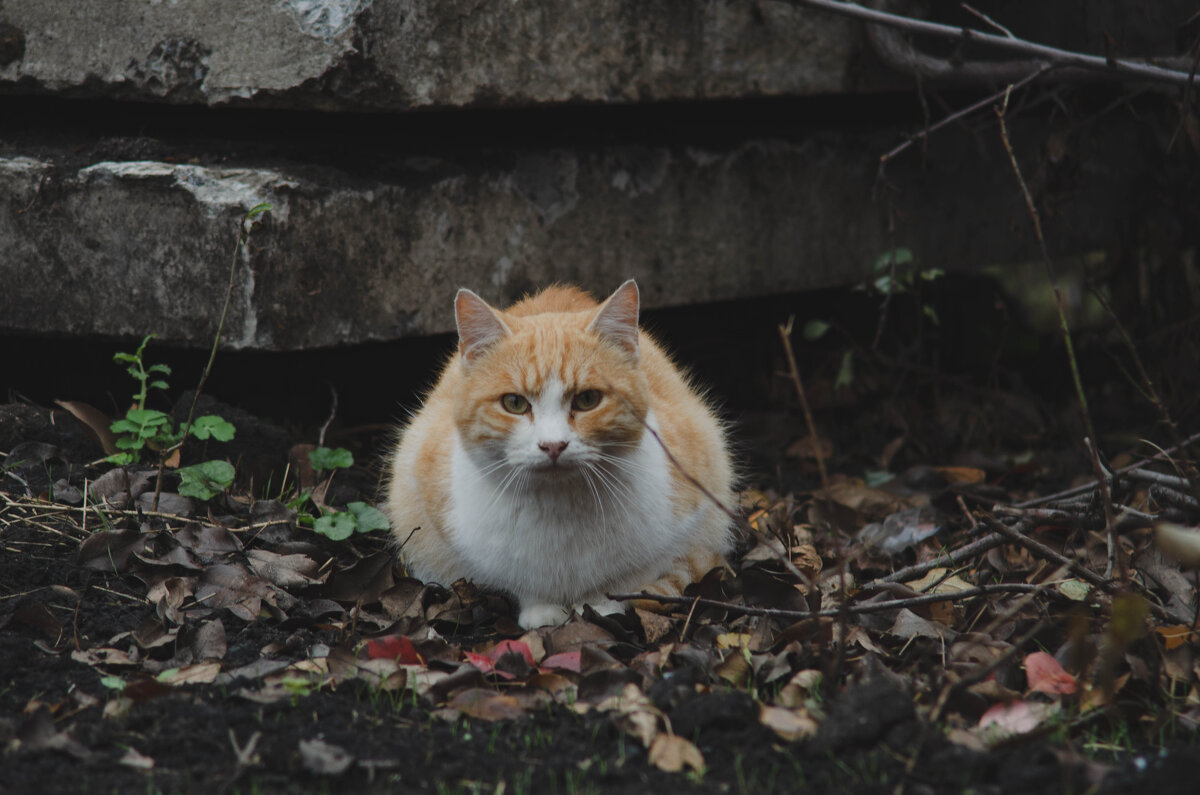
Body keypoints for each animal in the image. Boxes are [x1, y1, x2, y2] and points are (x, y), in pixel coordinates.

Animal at [388, 279, 734, 629]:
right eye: (514, 403)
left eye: (588, 399)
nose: (553, 445)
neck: (560, 505)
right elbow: (518, 579)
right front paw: (541, 611)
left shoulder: (691, 504)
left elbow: (629, 576)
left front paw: (600, 605)